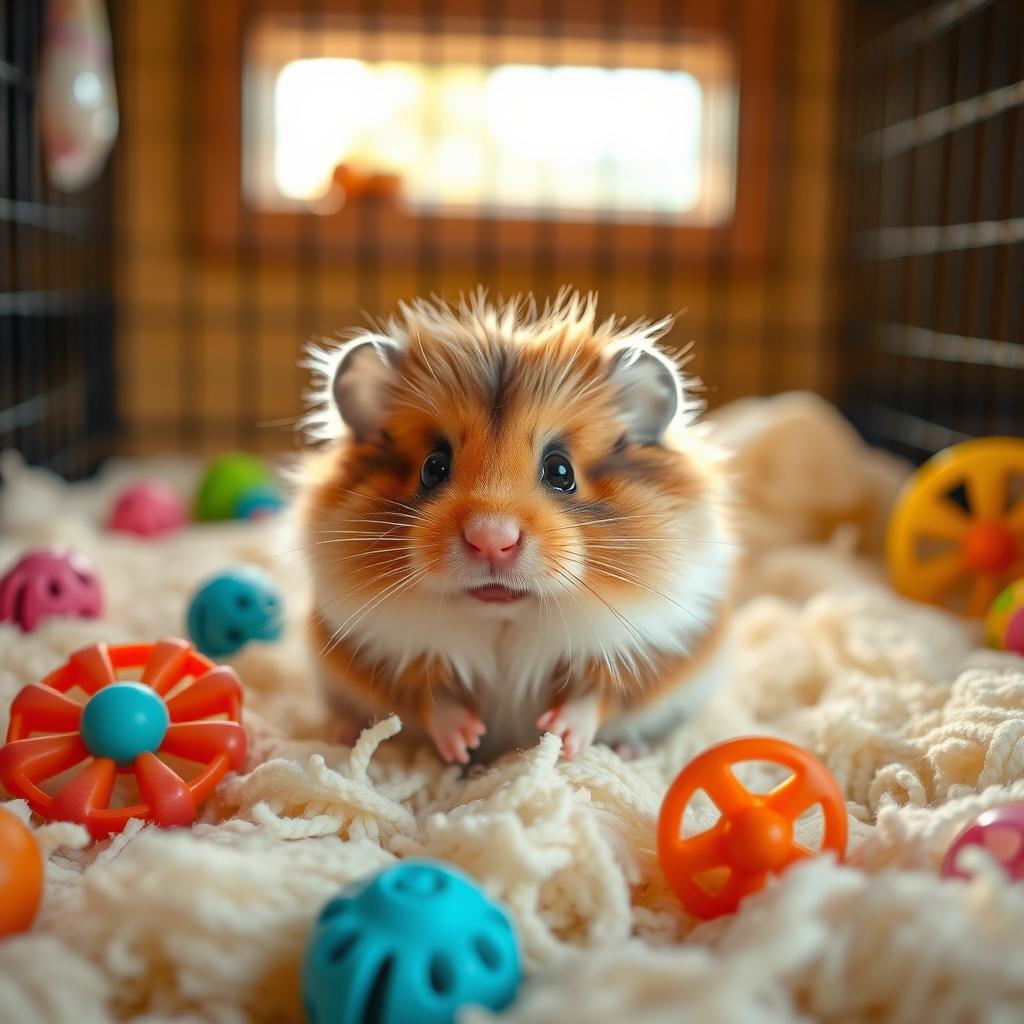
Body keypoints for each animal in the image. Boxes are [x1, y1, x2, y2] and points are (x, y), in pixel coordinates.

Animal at [296, 290, 739, 763]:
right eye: (432, 468)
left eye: (561, 471)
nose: (492, 540)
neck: (504, 617)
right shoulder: (392, 656)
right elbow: (434, 698)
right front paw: (466, 744)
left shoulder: (636, 654)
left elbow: (593, 696)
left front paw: (558, 737)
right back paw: (344, 735)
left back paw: (628, 750)